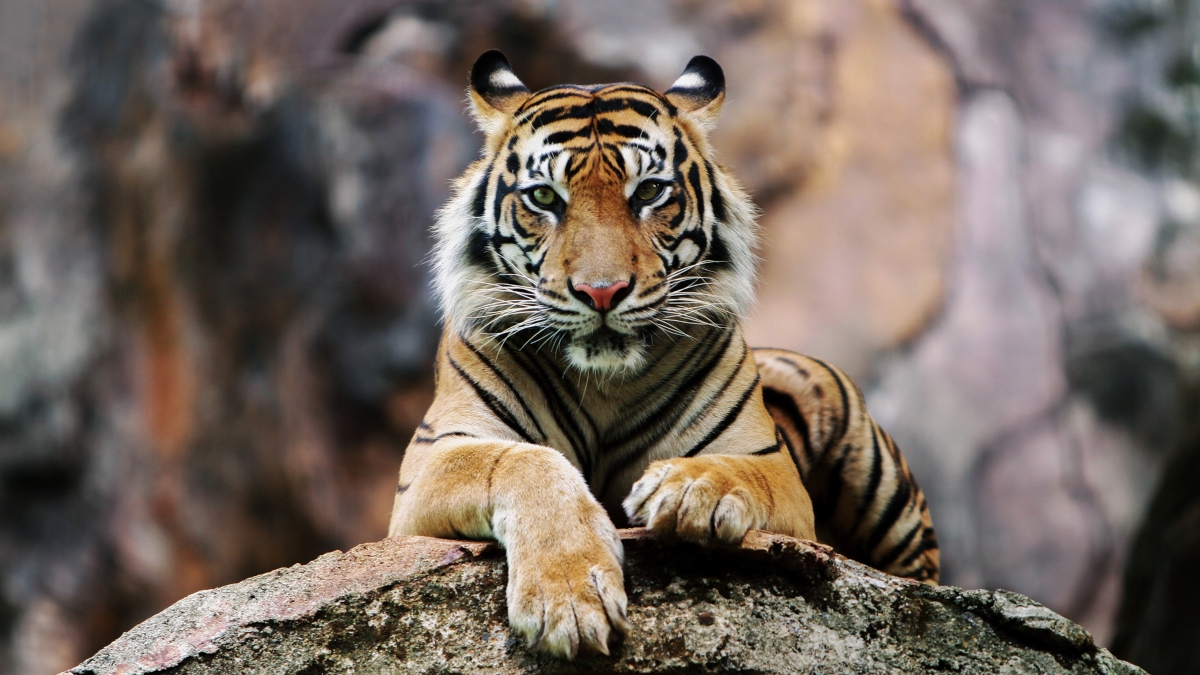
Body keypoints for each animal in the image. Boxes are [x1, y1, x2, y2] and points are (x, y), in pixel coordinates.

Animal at [388, 50, 939, 659]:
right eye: (544, 198)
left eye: (649, 192)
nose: (602, 292)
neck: (604, 383)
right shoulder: (433, 460)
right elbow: (524, 462)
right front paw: (569, 598)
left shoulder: (771, 465)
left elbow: (740, 471)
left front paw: (690, 489)